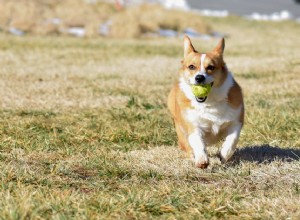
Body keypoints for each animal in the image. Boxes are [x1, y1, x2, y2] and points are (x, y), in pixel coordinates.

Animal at [168, 35, 245, 168]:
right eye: (191, 66)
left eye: (211, 67)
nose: (199, 78)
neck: (209, 102)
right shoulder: (193, 125)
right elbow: (198, 142)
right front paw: (202, 160)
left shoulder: (236, 122)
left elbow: (232, 140)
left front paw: (223, 155)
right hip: (180, 129)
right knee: (187, 146)